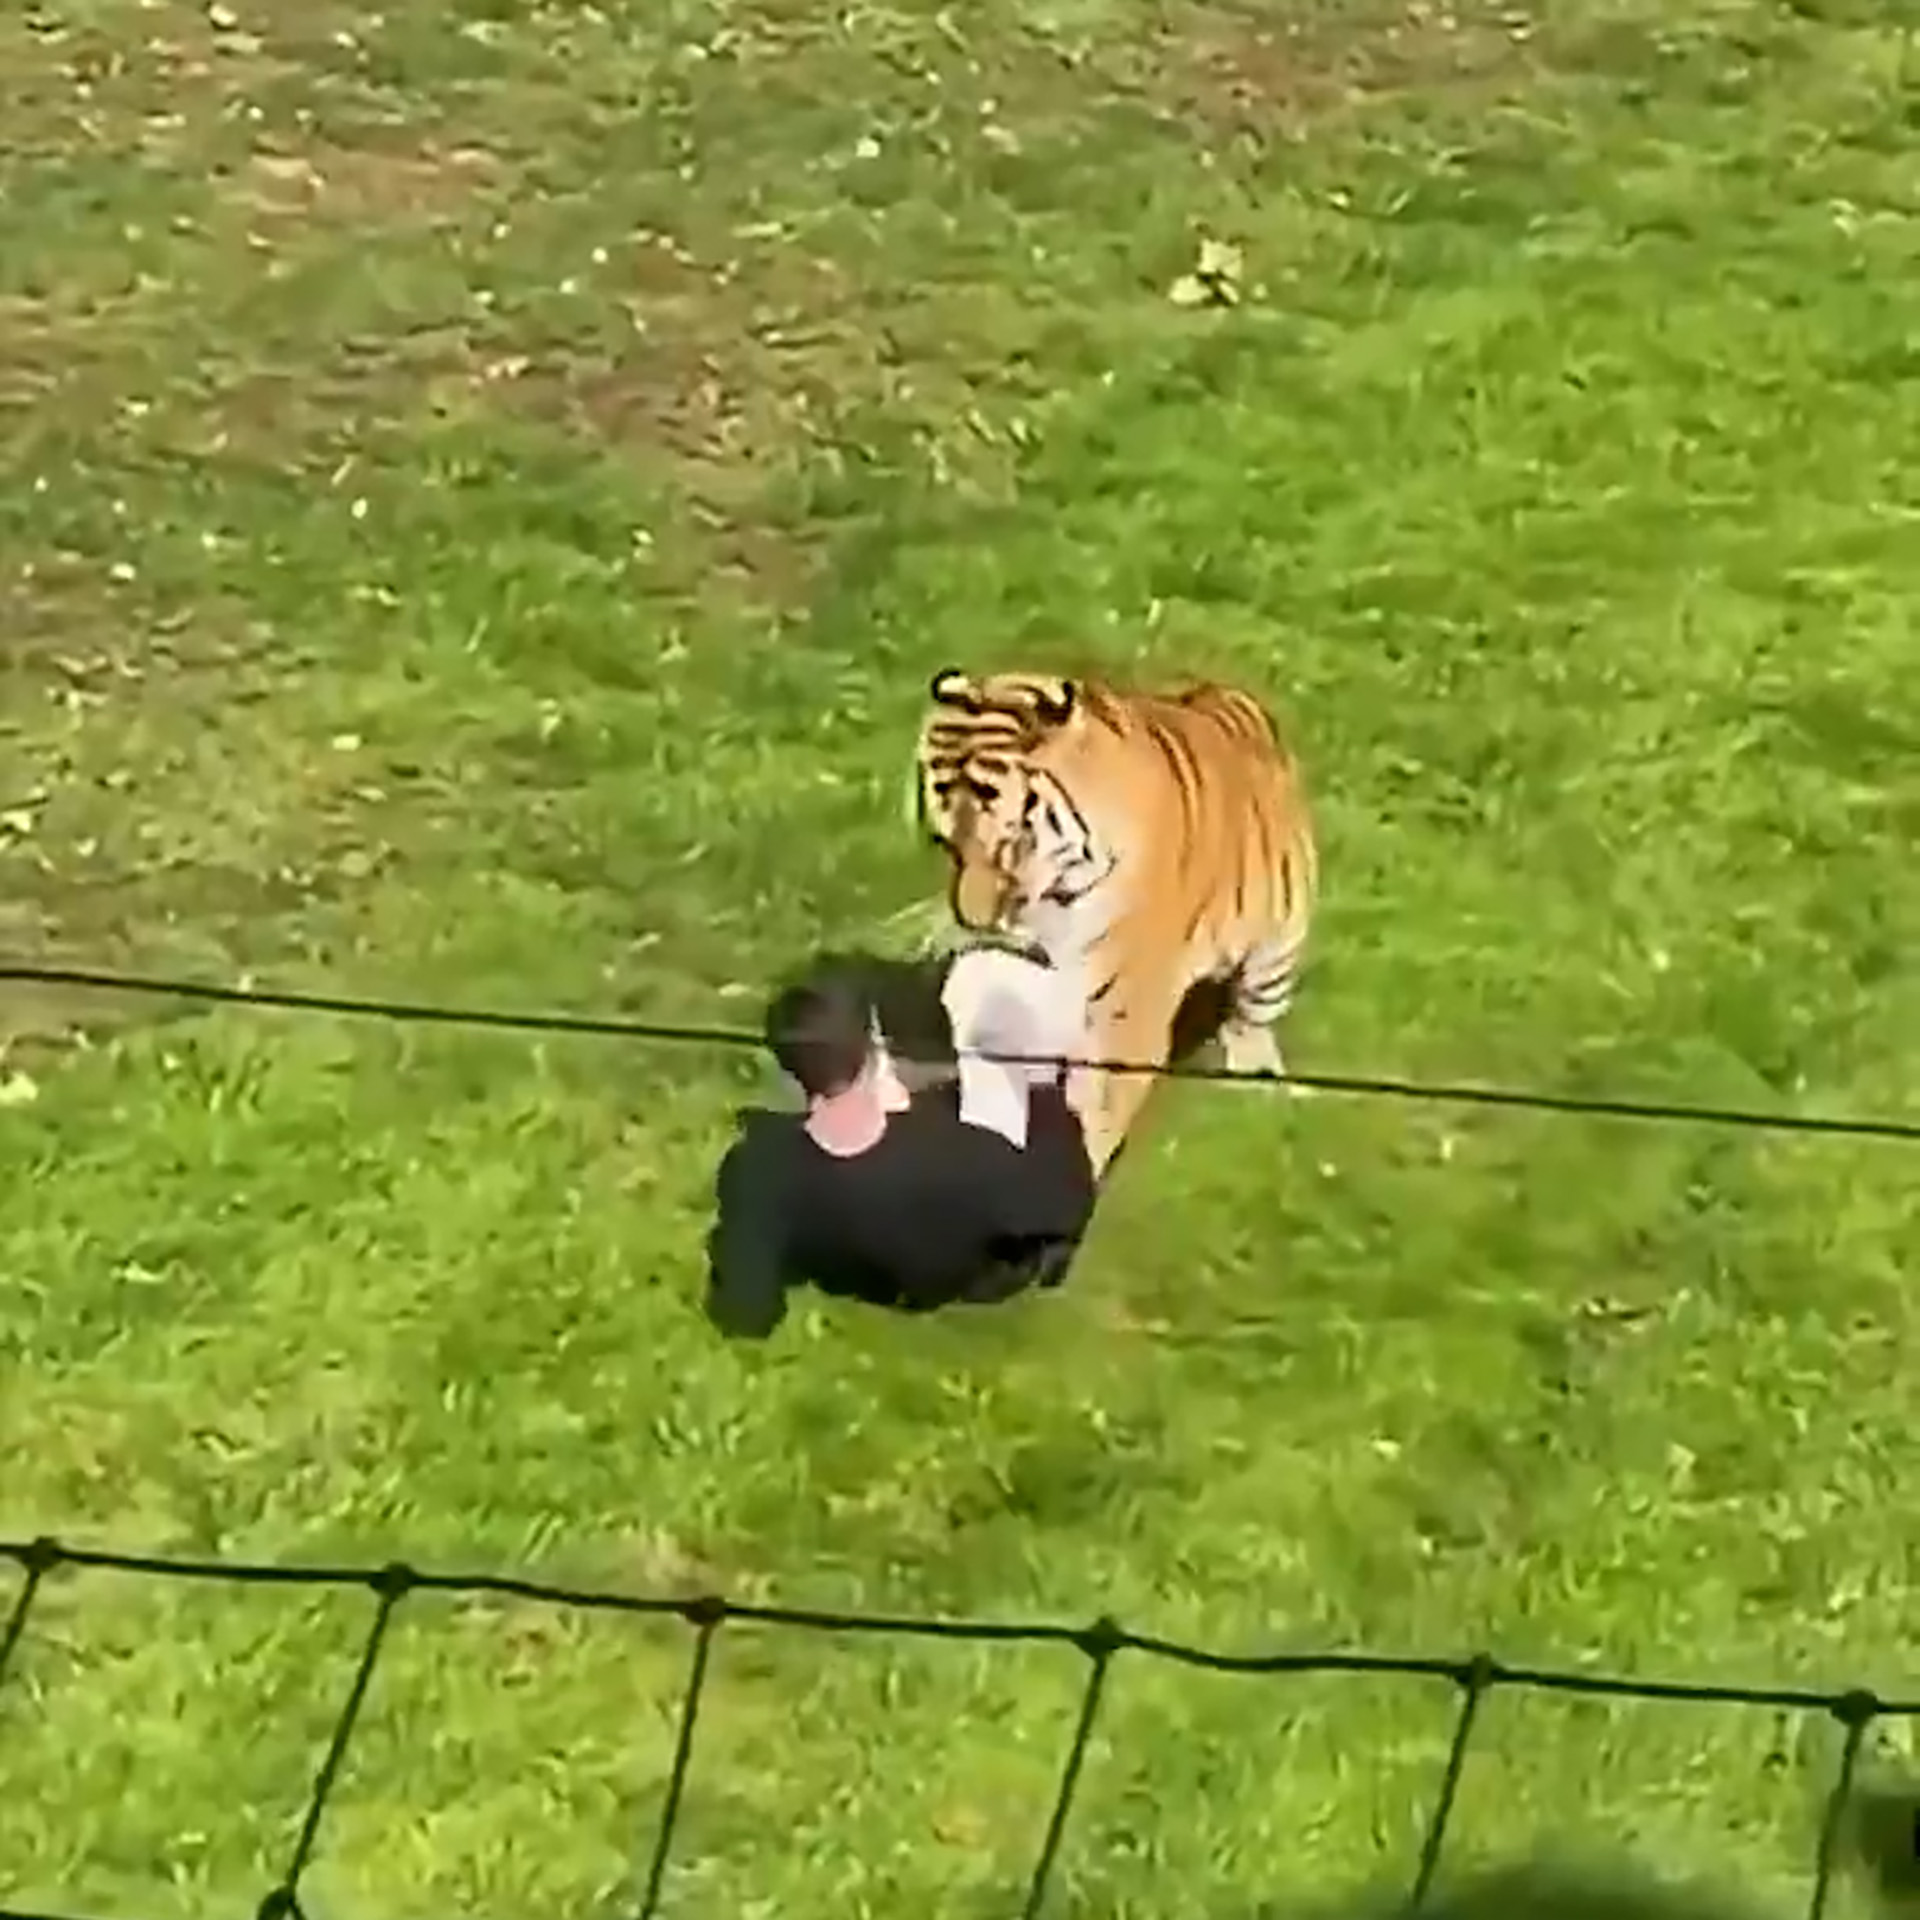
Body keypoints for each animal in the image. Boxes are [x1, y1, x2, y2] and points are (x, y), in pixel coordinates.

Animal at [909, 666, 1317, 1177]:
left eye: (1011, 844)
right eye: (948, 845)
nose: (975, 922)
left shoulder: (1126, 1012)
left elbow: (1093, 1110)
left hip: (1277, 945)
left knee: (1252, 1015)